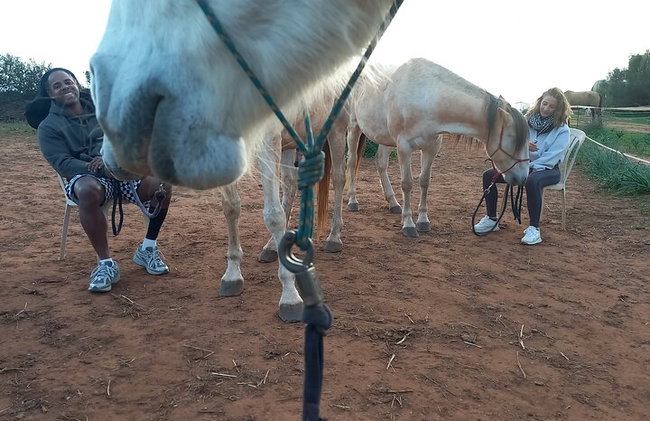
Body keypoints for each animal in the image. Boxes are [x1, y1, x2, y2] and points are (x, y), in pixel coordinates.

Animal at [346, 58, 530, 237]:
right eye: (513, 139)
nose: (523, 178)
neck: (426, 98)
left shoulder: (431, 147)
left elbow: (424, 181)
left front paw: (423, 221)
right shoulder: (404, 147)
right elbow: (407, 183)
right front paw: (408, 224)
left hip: (386, 138)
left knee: (381, 164)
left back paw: (393, 203)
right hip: (354, 127)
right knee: (352, 162)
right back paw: (353, 201)